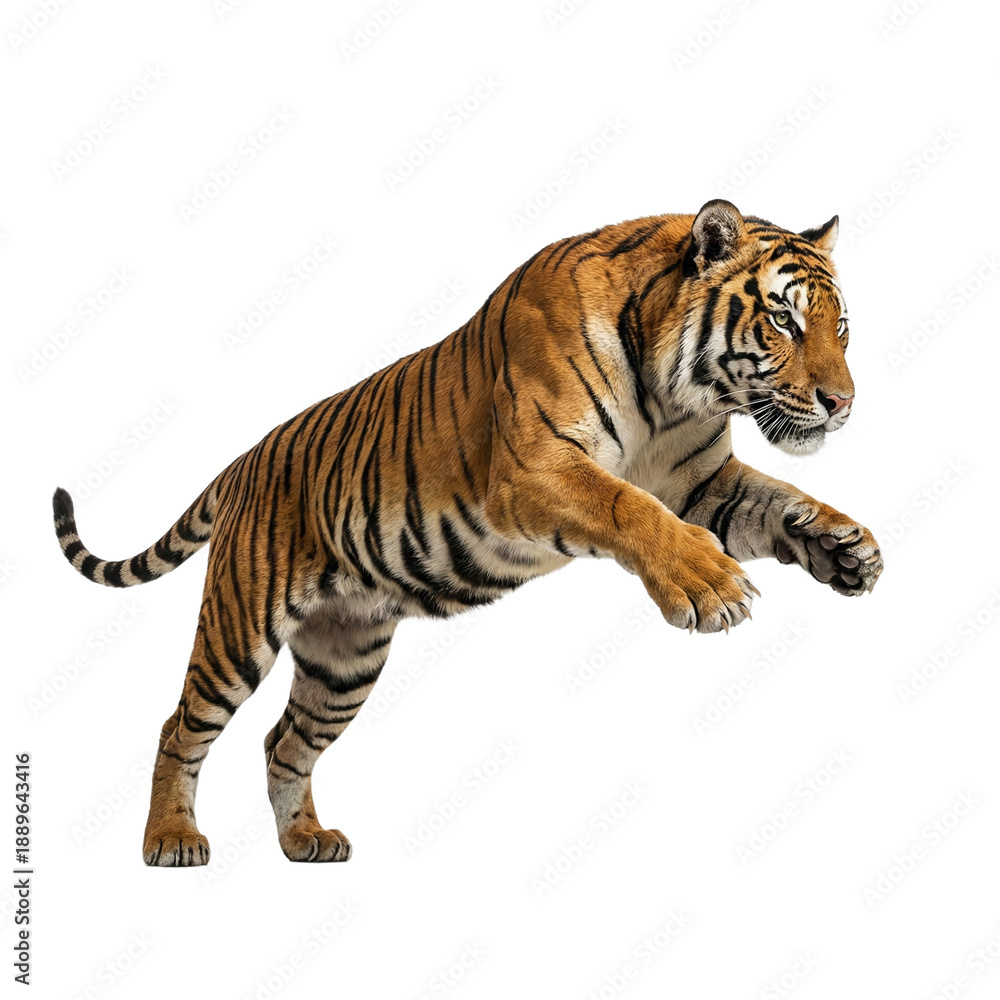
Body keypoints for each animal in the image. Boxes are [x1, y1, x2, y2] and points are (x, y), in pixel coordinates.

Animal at [52, 199, 883, 867]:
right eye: (783, 320)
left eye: (840, 327)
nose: (842, 403)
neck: (675, 393)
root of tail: (243, 460)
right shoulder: (533, 471)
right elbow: (628, 509)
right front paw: (709, 586)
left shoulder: (702, 486)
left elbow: (779, 498)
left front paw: (845, 546)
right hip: (240, 625)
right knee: (180, 725)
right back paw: (170, 840)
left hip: (344, 659)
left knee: (283, 742)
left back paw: (304, 841)